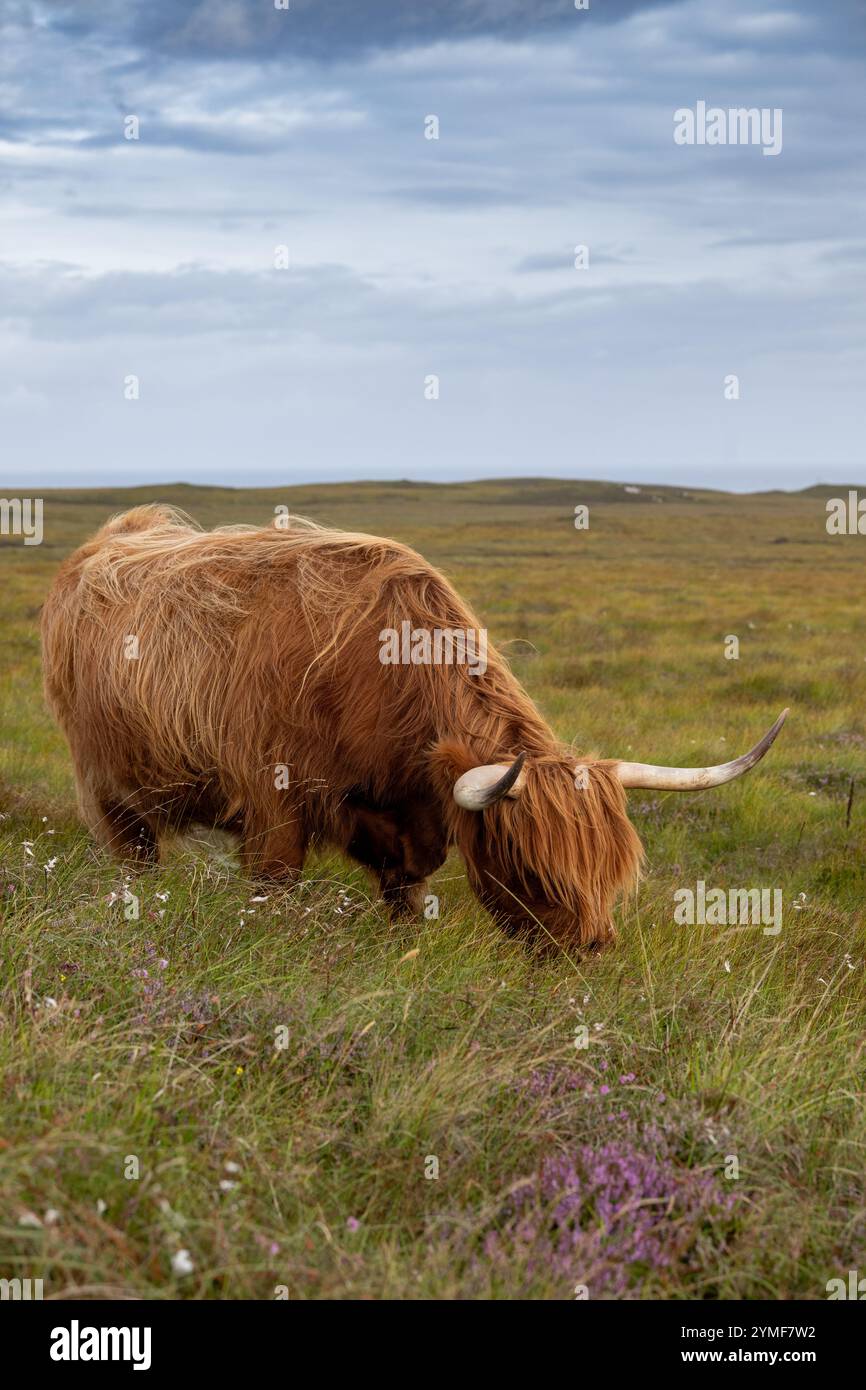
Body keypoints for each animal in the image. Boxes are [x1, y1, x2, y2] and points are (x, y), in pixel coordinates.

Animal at [40, 505, 788, 950]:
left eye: (612, 871)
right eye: (534, 871)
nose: (590, 947)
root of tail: (110, 537)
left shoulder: (408, 822)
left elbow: (407, 892)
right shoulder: (271, 803)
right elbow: (275, 885)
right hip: (105, 786)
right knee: (134, 852)